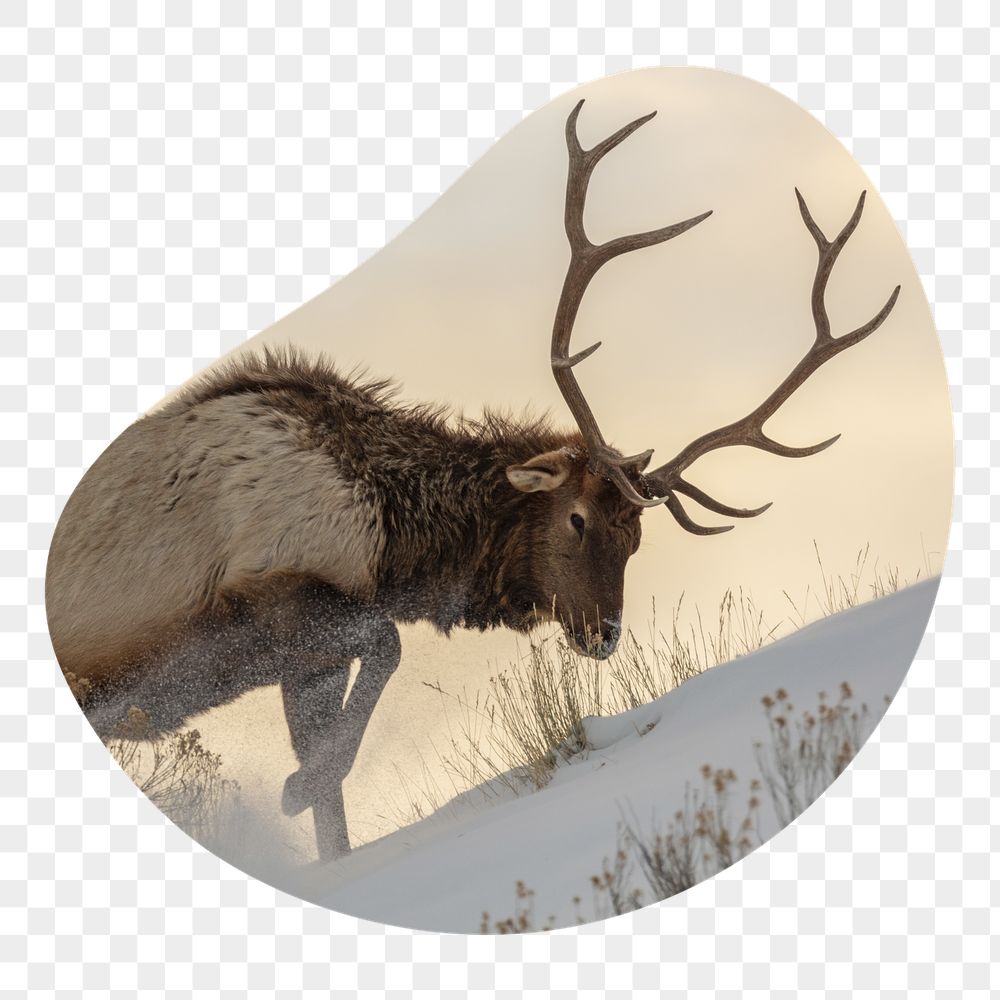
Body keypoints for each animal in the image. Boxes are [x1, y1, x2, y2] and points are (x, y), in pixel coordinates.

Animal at [45, 99, 900, 860]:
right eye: (577, 519)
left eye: (637, 537)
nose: (604, 633)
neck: (392, 535)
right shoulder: (272, 595)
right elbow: (383, 654)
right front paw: (291, 789)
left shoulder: (303, 657)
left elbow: (334, 799)